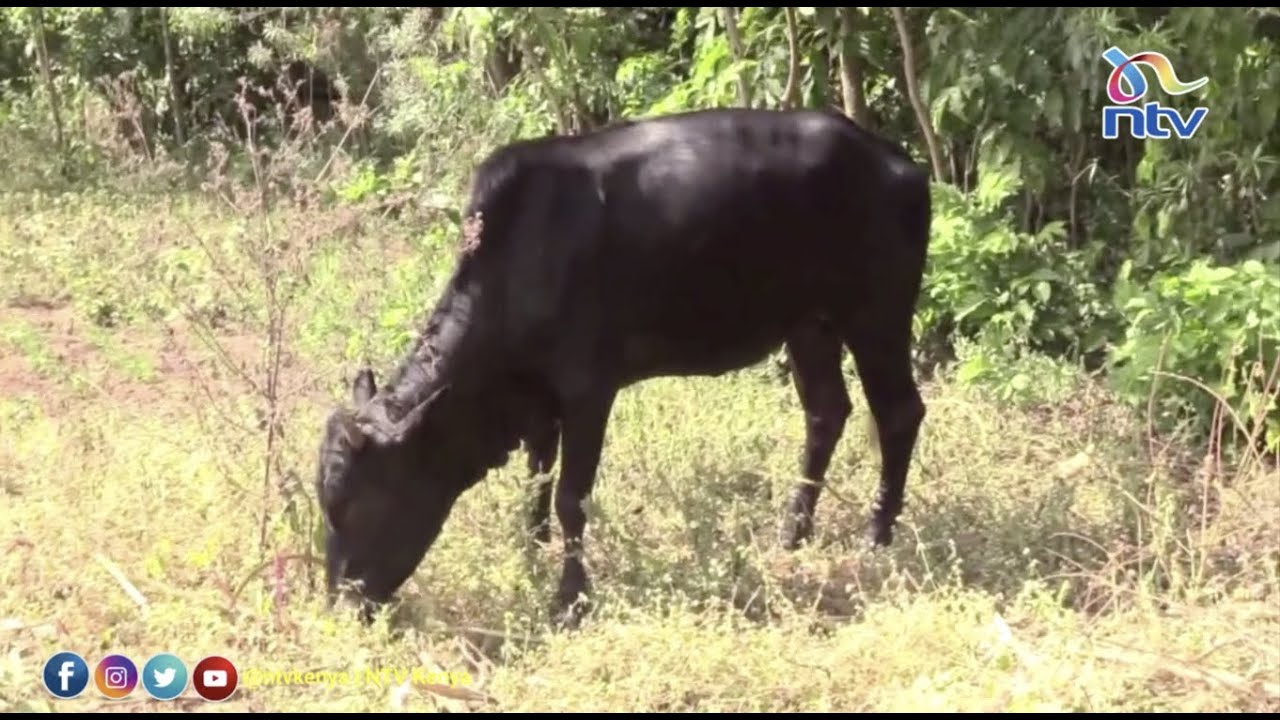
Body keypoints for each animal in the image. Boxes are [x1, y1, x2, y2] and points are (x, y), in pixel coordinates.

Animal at [314, 107, 932, 628]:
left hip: (877, 313)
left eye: (353, 504)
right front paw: (530, 554)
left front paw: (570, 600)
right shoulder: (541, 403)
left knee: (898, 412)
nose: (342, 603)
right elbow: (538, 479)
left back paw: (876, 538)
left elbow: (571, 496)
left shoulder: (589, 389)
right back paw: (792, 533)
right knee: (826, 413)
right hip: (809, 325)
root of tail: (898, 163)